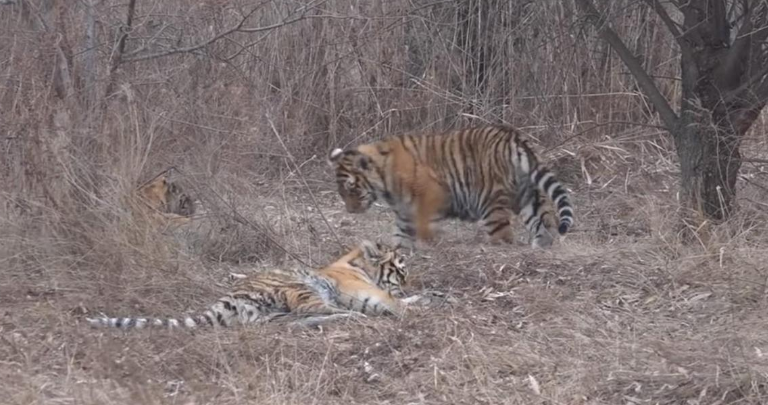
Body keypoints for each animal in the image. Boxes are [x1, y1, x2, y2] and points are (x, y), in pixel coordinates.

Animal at [86, 240, 417, 330]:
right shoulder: (369, 292)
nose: (409, 283)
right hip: (301, 287)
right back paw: (353, 317)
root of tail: (229, 298)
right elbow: (394, 303)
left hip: (272, 314)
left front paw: (416, 300)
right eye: (401, 269)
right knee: (311, 312)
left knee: (296, 321)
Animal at [328, 125, 574, 250]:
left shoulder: (431, 196)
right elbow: (401, 237)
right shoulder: (405, 212)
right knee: (545, 222)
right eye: (341, 192)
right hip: (526, 195)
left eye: (352, 188)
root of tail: (511, 137)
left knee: (504, 235)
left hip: (491, 202)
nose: (350, 210)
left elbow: (425, 227)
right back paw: (541, 248)